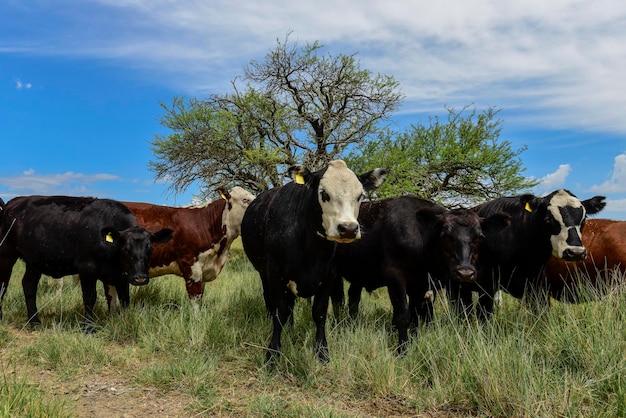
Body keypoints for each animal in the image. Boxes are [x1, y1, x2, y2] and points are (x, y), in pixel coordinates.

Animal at [0, 194, 172, 332]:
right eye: (125, 249)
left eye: (150, 248)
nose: (140, 278)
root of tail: (14, 202)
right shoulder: (87, 267)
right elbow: (90, 296)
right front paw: (89, 327)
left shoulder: (122, 275)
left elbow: (124, 298)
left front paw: (124, 321)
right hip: (6, 253)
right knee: (3, 283)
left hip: (34, 261)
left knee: (29, 285)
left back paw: (34, 321)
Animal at [240, 160, 382, 362]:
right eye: (324, 194)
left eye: (360, 195)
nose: (348, 228)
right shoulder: (275, 273)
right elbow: (279, 313)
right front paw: (273, 354)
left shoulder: (330, 276)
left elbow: (319, 313)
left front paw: (322, 352)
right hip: (263, 273)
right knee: (271, 302)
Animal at [334, 198, 510, 354]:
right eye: (445, 234)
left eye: (479, 236)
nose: (465, 272)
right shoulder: (394, 275)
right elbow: (403, 315)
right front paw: (402, 350)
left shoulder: (420, 285)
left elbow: (416, 315)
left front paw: (414, 342)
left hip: (358, 275)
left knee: (353, 297)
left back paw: (352, 325)